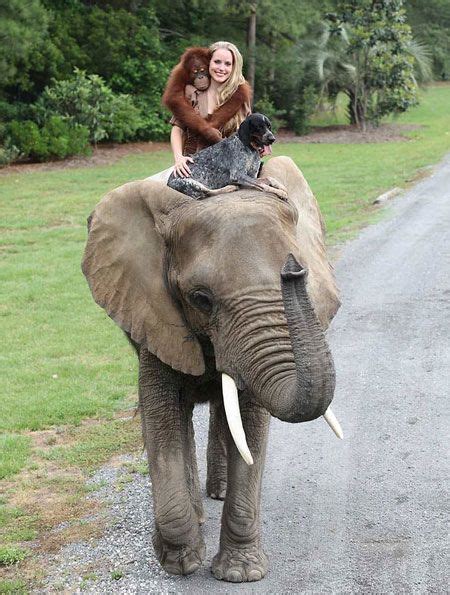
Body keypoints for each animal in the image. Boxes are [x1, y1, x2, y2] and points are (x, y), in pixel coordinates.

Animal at [81, 156, 342, 584]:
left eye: (303, 273)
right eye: (200, 298)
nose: (292, 271)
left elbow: (250, 425)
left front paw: (239, 573)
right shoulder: (155, 313)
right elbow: (162, 416)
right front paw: (179, 561)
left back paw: (217, 492)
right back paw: (200, 513)